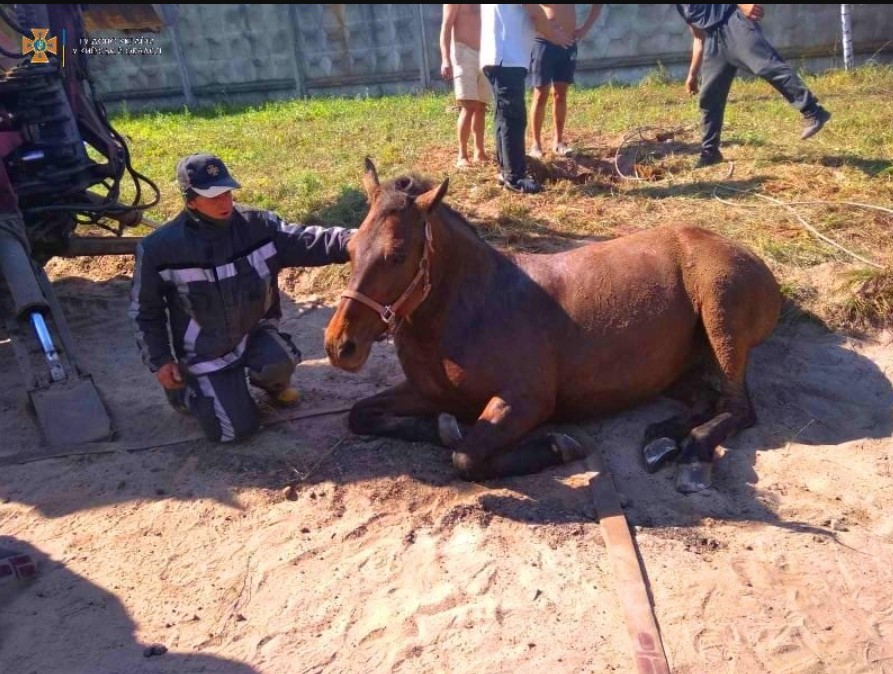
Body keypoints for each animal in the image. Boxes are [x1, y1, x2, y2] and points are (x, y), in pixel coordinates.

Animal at [326, 160, 780, 490]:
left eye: (398, 254)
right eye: (350, 247)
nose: (339, 345)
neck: (471, 309)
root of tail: (748, 254)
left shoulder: (527, 401)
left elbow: (467, 456)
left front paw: (558, 447)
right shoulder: (424, 392)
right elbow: (361, 415)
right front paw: (442, 426)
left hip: (721, 321)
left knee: (738, 407)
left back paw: (692, 456)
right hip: (671, 369)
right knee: (705, 400)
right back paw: (661, 439)